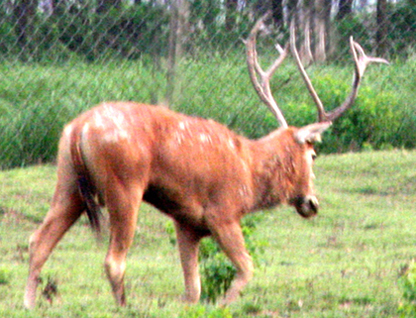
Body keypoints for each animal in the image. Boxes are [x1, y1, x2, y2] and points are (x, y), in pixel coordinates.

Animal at [24, 11, 388, 308]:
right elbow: (245, 269)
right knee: (114, 259)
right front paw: (224, 304)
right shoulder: (222, 212)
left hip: (67, 180)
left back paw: (29, 303)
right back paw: (123, 305)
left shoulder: (187, 222)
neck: (250, 176)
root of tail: (79, 128)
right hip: (124, 184)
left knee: (37, 240)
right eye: (313, 154)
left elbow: (193, 289)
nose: (312, 202)